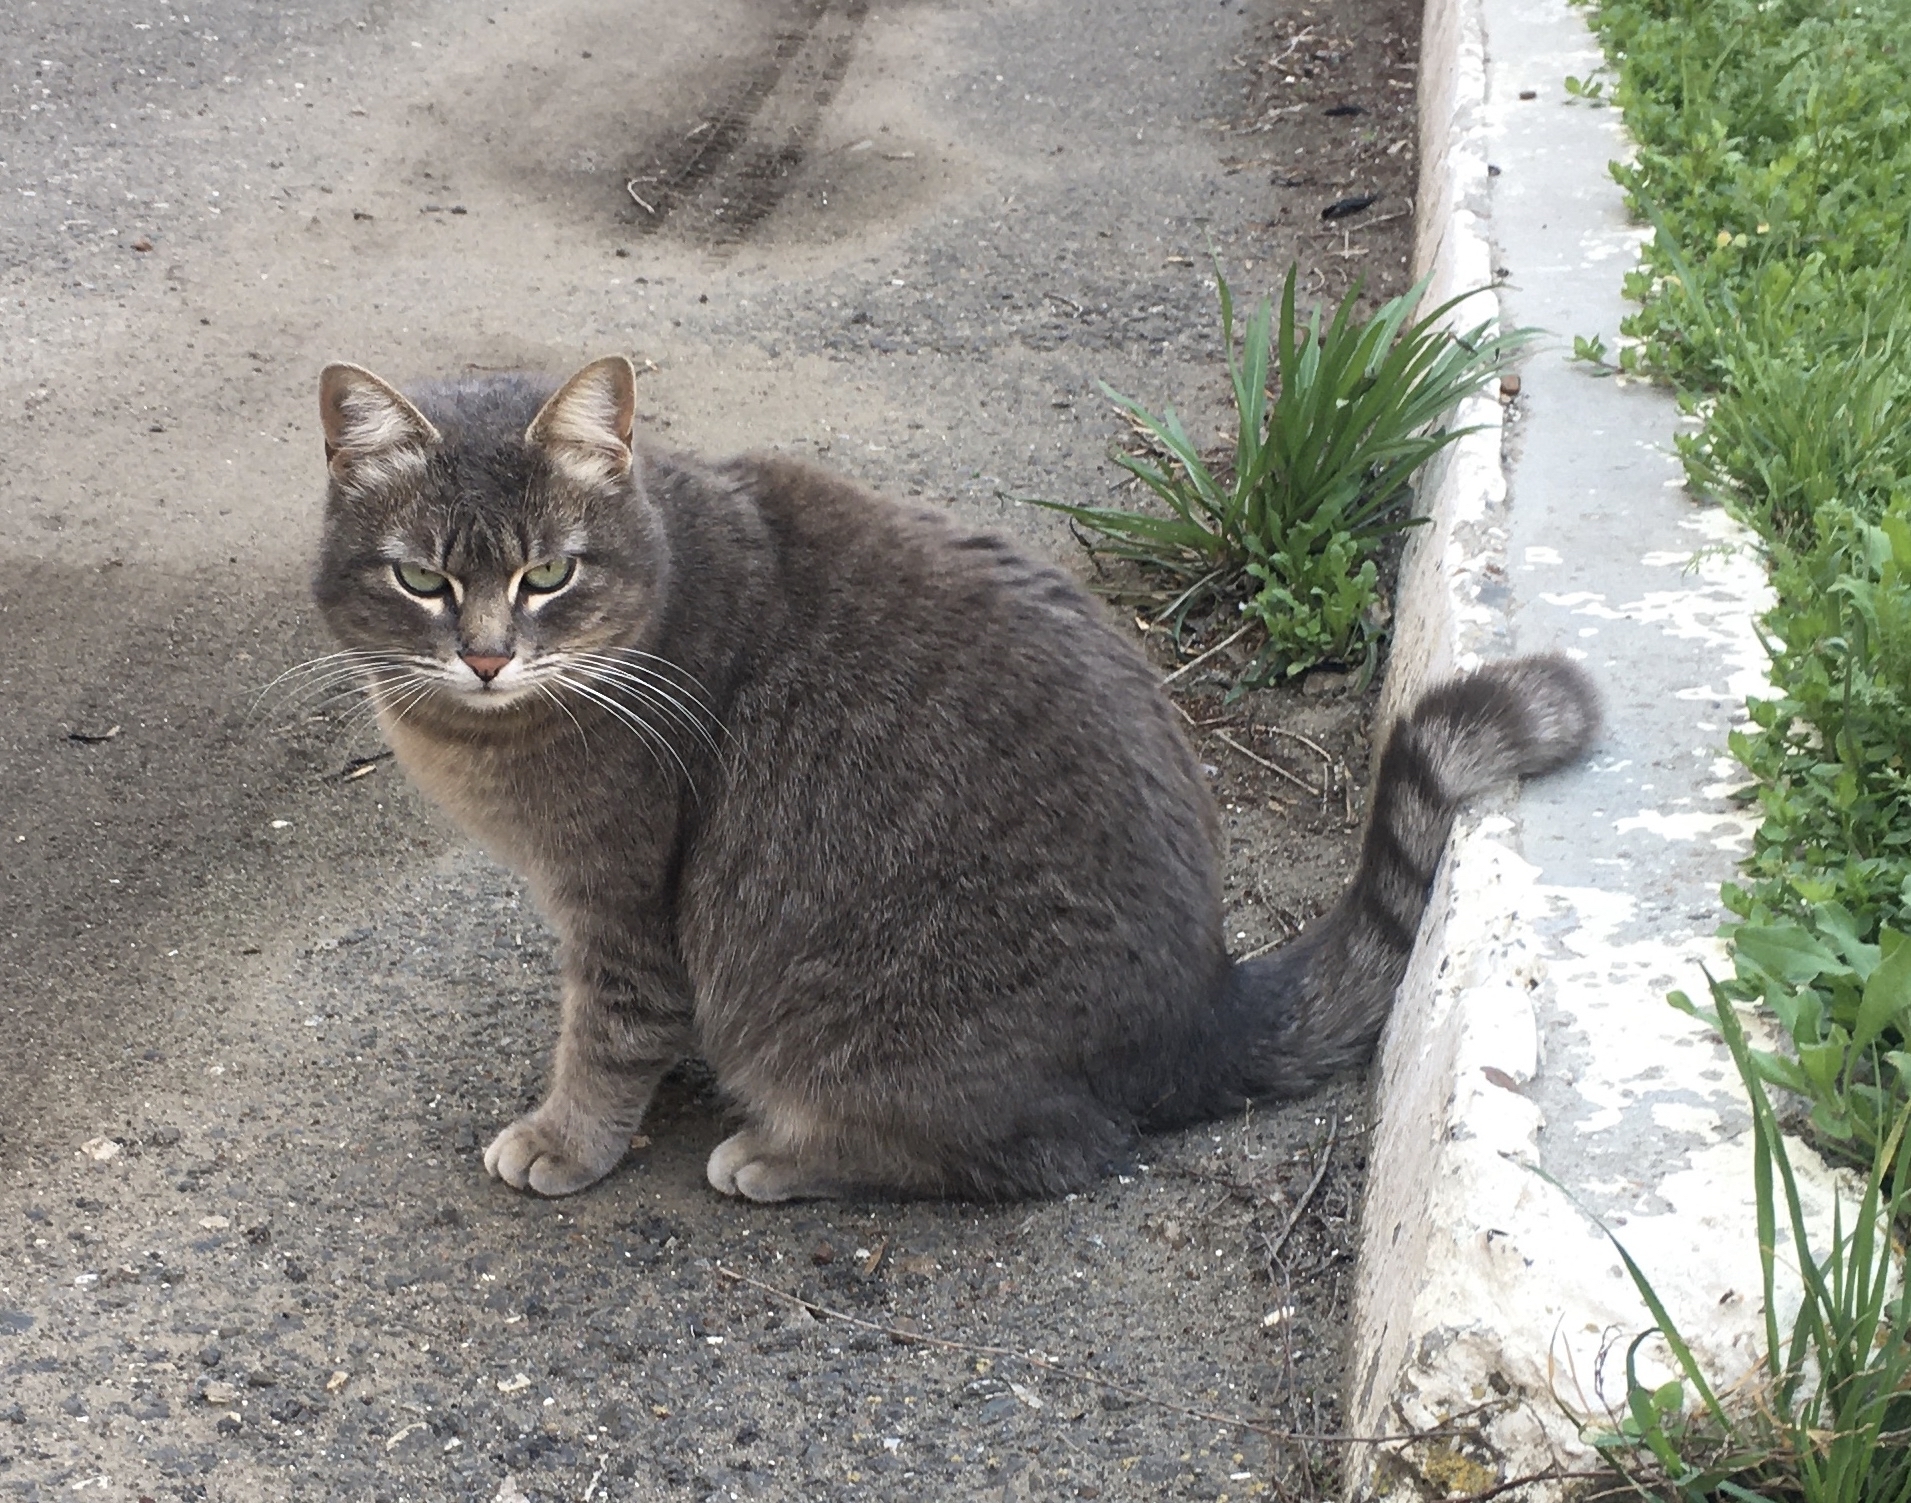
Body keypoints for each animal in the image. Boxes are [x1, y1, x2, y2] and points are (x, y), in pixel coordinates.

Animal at [313, 357, 1597, 1200]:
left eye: (549, 575)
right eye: (423, 581)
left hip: (872, 1021)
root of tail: (1207, 1001)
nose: (485, 655)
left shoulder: (624, 902)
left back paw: (781, 1153)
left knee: (1049, 1152)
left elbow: (609, 1033)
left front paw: (567, 1139)